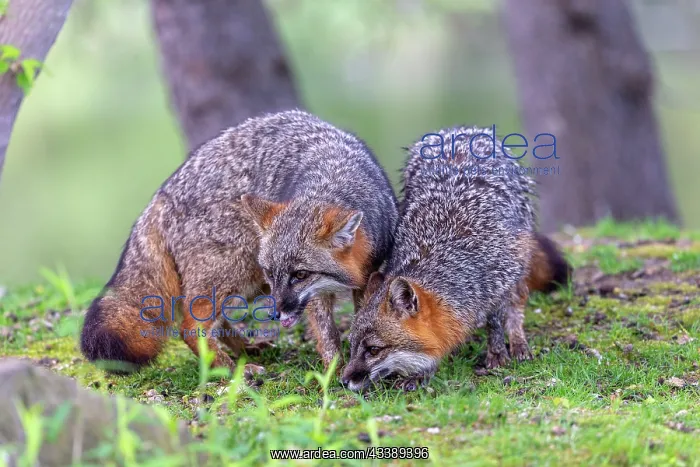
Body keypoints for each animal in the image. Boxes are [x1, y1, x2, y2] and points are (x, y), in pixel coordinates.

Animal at [81, 110, 399, 373]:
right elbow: (326, 331)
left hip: (247, 281)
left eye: (300, 275)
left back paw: (244, 350)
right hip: (238, 272)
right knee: (190, 326)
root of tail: (162, 194)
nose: (275, 312)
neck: (332, 174)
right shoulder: (313, 294)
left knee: (212, 321)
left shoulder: (368, 273)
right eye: (274, 272)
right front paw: (334, 370)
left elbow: (360, 316)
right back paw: (231, 371)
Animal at [341, 126, 571, 392]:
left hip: (521, 258)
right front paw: (424, 372)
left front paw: (496, 352)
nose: (343, 381)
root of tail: (461, 130)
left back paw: (517, 341)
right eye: (352, 346)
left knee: (517, 303)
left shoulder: (499, 279)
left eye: (373, 350)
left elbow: (495, 320)